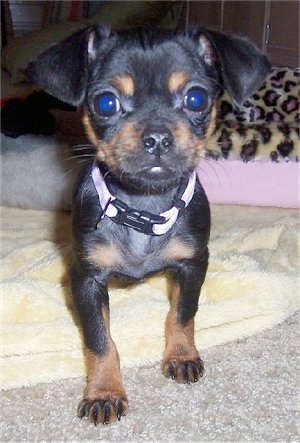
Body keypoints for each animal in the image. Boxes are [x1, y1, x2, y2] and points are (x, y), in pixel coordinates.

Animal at [28, 25, 270, 426]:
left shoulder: (193, 265)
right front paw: (104, 392)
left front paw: (182, 355)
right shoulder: (85, 279)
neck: (143, 208)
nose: (156, 137)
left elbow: (183, 313)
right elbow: (99, 340)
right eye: (106, 103)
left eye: (197, 98)